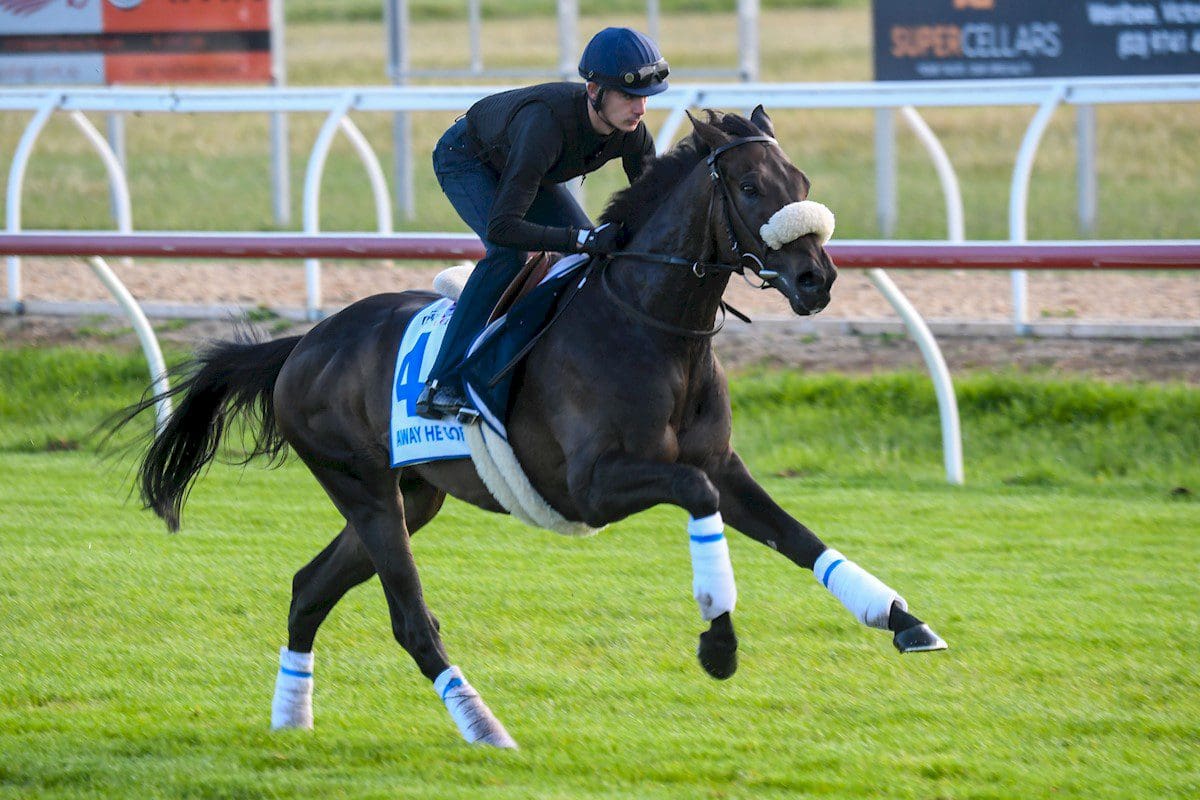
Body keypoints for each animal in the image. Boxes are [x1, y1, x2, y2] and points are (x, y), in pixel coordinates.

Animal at [121, 106, 945, 753]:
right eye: (749, 188)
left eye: (800, 183)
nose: (817, 280)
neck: (652, 328)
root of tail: (301, 345)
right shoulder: (593, 486)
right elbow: (698, 495)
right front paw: (718, 642)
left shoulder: (724, 463)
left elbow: (798, 535)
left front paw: (900, 617)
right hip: (363, 489)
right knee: (411, 622)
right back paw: (484, 726)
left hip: (411, 496)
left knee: (307, 589)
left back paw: (292, 717)